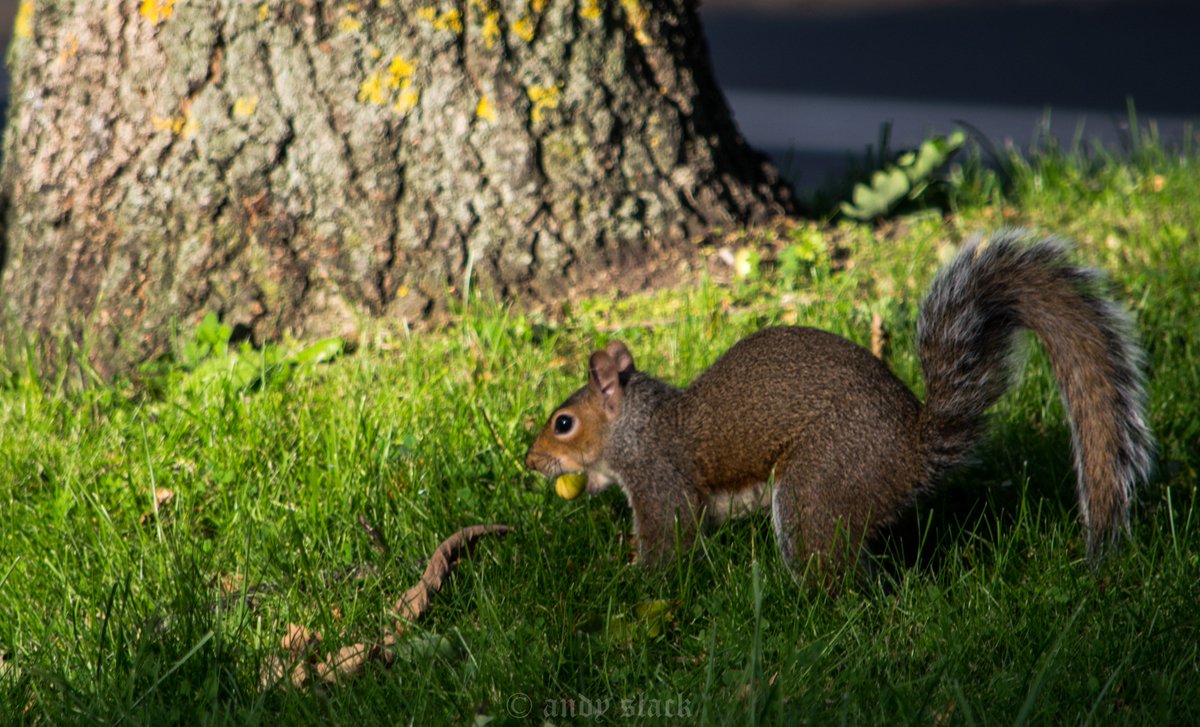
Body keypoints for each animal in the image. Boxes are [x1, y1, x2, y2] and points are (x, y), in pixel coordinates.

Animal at [525, 232, 1155, 578]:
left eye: (563, 423)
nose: (530, 463)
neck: (638, 423)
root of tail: (913, 449)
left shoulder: (659, 476)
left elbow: (669, 537)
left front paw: (635, 579)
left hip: (817, 483)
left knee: (830, 567)